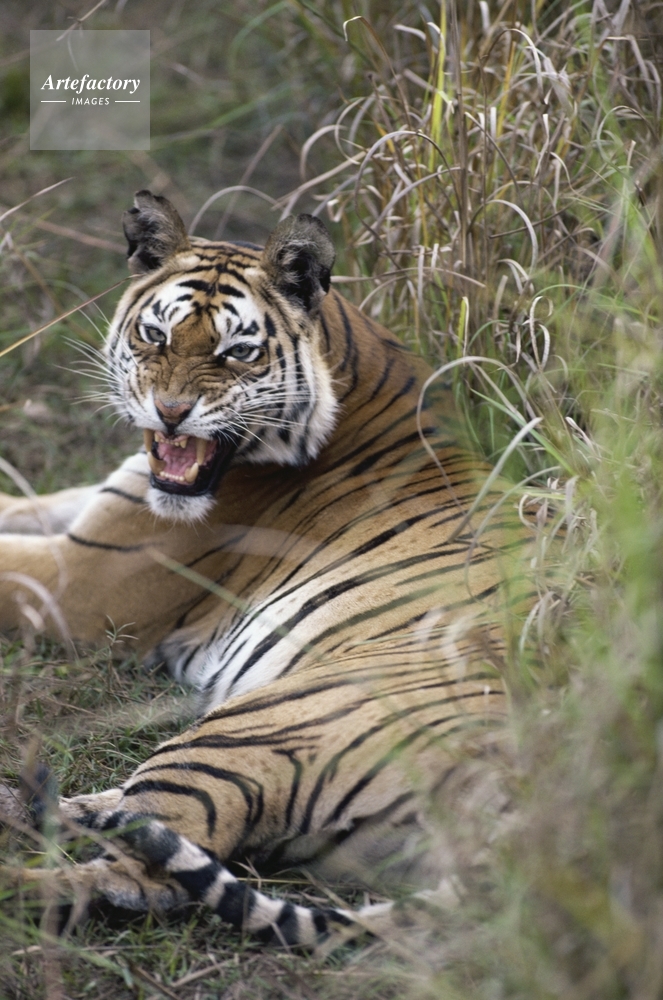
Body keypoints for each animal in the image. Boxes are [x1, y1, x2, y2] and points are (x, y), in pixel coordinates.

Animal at [0, 190, 525, 947]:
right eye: (155, 337)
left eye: (236, 352)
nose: (171, 413)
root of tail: (508, 818)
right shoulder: (96, 512)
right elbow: (20, 506)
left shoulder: (83, 581)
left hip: (247, 730)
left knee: (141, 875)